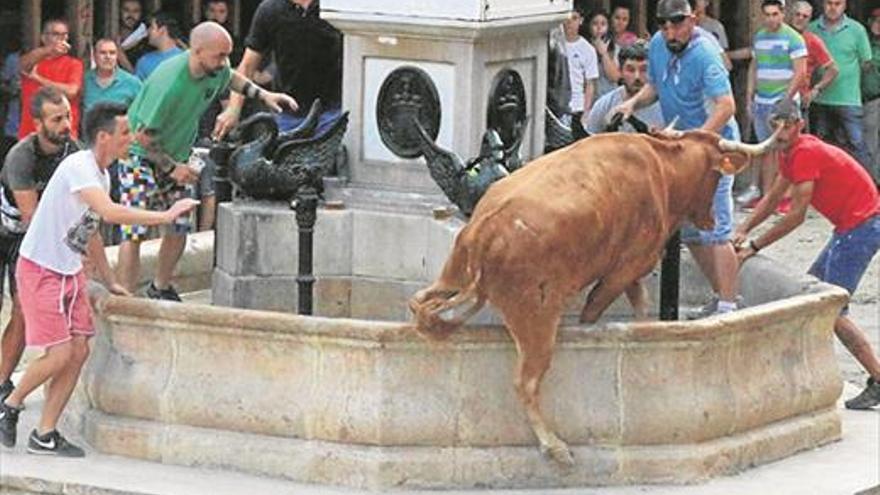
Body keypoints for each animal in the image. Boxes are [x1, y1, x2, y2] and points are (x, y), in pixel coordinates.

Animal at [410, 128, 772, 464]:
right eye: (716, 175)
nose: (712, 220)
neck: (661, 167)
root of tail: (487, 229)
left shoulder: (631, 273)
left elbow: (640, 308)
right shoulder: (623, 270)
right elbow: (595, 311)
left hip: (451, 277)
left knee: (420, 302)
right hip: (536, 321)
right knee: (526, 383)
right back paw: (554, 445)